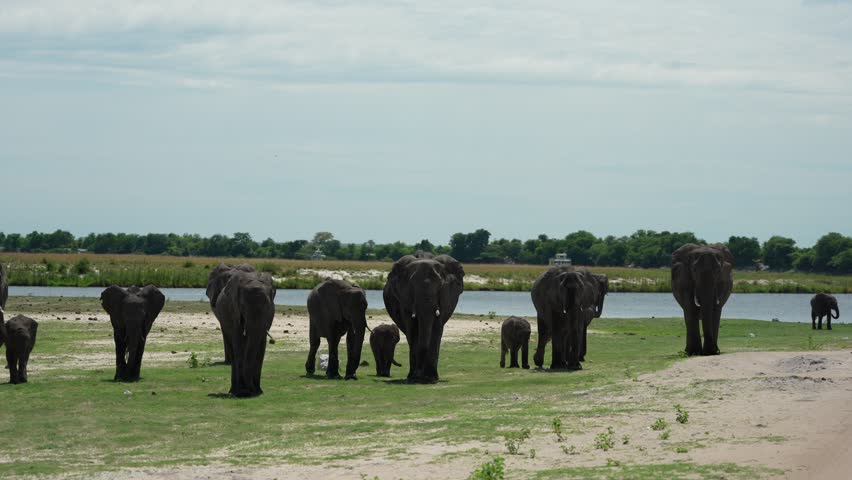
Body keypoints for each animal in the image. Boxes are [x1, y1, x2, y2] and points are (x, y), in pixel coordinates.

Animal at [209, 266, 276, 397]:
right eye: (243, 306)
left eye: (268, 306)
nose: (250, 391)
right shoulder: (234, 311)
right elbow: (238, 341)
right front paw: (243, 392)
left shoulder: (269, 316)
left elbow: (261, 343)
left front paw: (258, 391)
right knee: (234, 348)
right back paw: (234, 391)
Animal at [383, 253, 464, 384]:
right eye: (412, 285)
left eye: (440, 286)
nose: (419, 376)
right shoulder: (405, 298)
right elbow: (412, 329)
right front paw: (414, 378)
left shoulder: (445, 297)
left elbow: (436, 329)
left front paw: (430, 379)